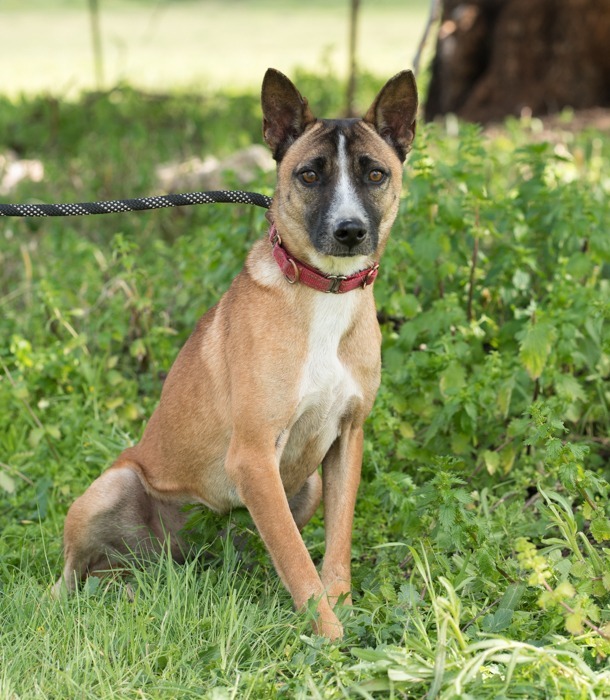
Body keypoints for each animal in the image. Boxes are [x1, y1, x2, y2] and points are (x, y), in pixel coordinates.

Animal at [54, 69, 416, 640]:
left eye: (375, 173)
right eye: (310, 175)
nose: (350, 231)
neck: (323, 291)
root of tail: (167, 560)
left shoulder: (346, 440)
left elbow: (333, 550)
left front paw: (345, 612)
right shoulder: (253, 455)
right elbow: (299, 563)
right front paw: (333, 640)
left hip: (302, 489)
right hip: (111, 488)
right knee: (72, 577)